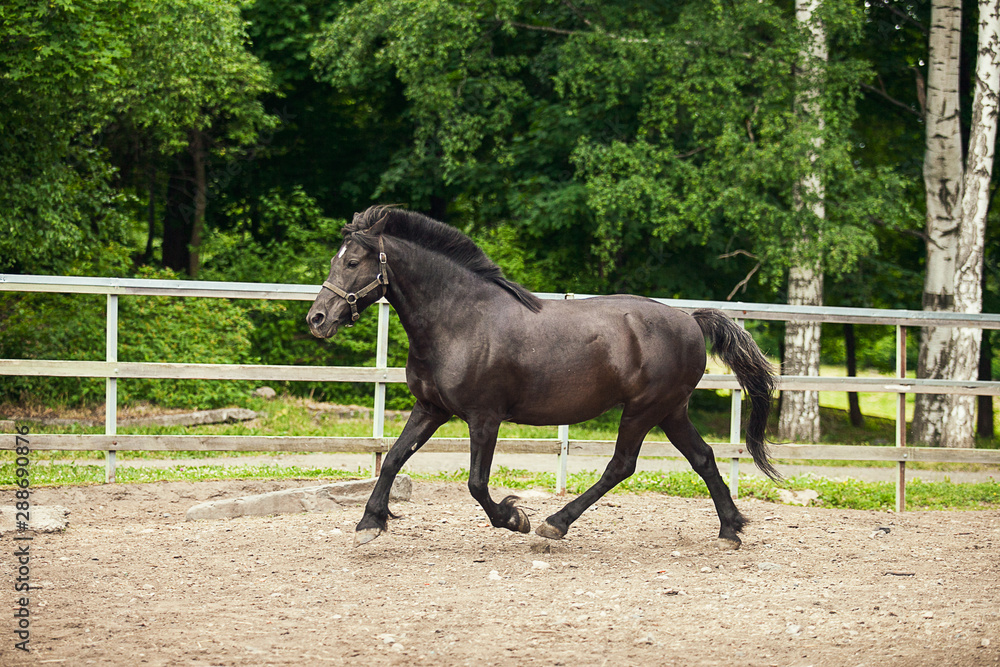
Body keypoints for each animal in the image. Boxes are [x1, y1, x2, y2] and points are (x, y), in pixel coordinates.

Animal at [307, 206, 779, 550]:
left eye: (352, 261)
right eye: (334, 260)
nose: (317, 319)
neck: (460, 320)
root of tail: (690, 320)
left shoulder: (484, 417)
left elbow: (476, 483)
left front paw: (515, 518)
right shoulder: (431, 409)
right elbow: (392, 458)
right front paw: (368, 524)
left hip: (644, 410)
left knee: (621, 465)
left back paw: (554, 524)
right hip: (671, 411)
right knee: (703, 458)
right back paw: (730, 530)